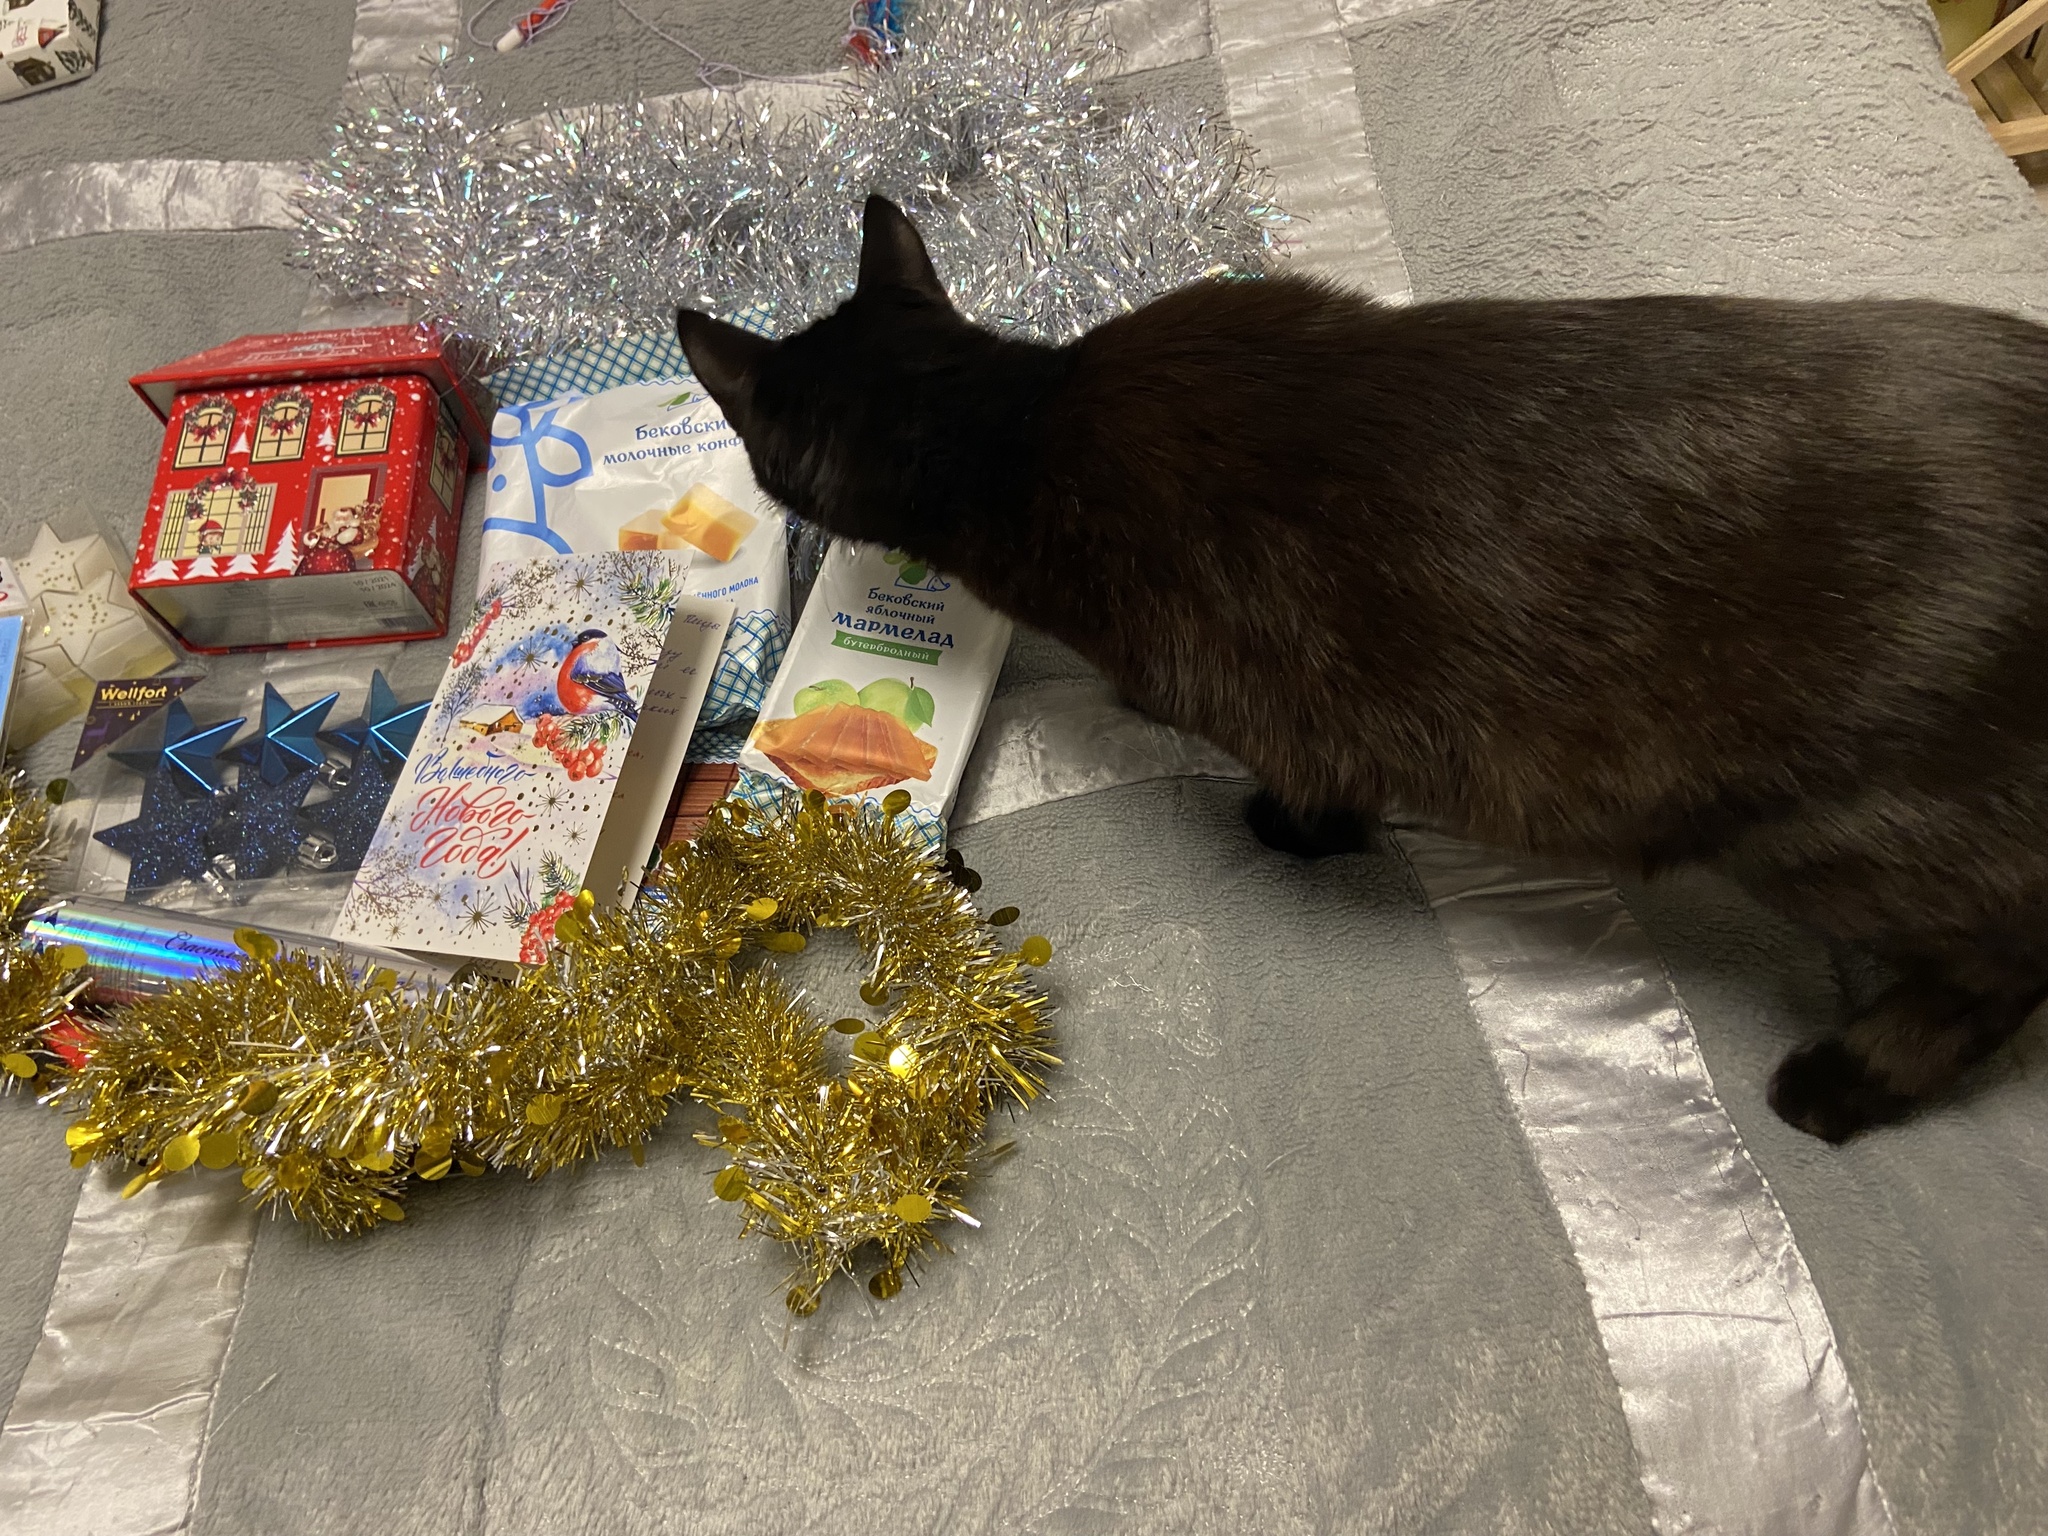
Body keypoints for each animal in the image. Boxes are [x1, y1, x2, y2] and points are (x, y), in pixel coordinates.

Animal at [678, 194, 2048, 1143]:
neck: (1015, 428)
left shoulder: (1294, 713)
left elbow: (1321, 798)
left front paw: (1284, 833)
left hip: (1834, 837)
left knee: (1998, 968)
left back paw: (1843, 1081)